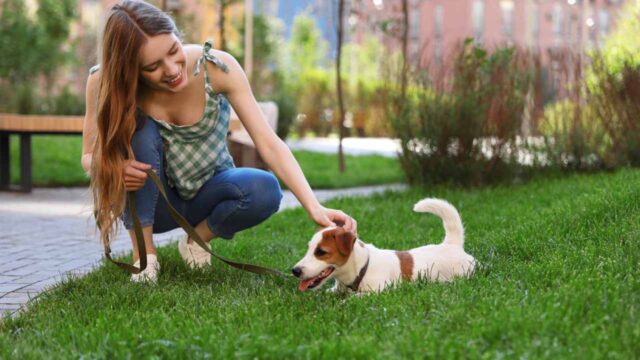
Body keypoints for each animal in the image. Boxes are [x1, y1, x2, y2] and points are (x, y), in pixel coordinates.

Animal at [290, 198, 476, 294]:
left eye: (321, 252)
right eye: (308, 249)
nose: (295, 271)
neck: (361, 268)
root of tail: (452, 244)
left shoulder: (379, 290)